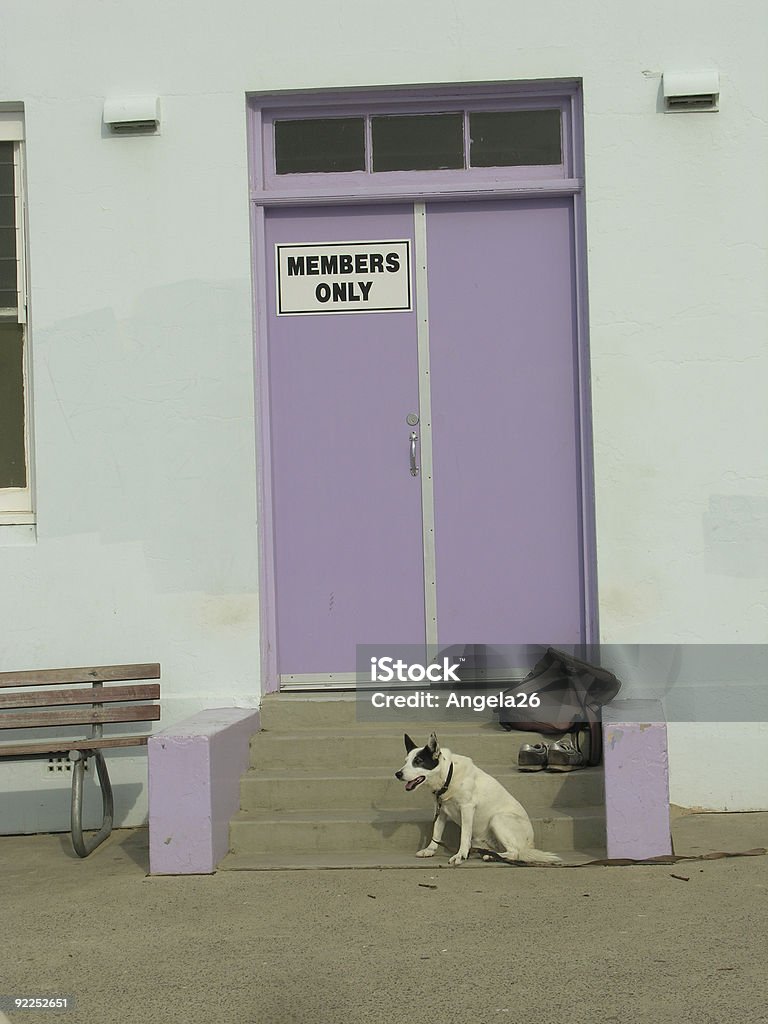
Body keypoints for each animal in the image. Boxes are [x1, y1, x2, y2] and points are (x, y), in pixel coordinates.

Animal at [397, 733, 561, 868]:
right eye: (405, 761)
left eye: (418, 761)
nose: (397, 774)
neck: (448, 776)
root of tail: (530, 845)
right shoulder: (441, 809)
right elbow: (436, 831)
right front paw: (430, 850)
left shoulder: (467, 808)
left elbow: (464, 835)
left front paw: (460, 856)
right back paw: (487, 854)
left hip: (498, 818)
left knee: (515, 853)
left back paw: (491, 857)